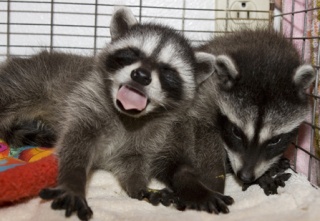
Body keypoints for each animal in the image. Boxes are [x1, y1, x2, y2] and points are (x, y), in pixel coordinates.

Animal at [0, 6, 215, 219]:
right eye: (132, 53)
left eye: (167, 70)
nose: (141, 75)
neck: (128, 115)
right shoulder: (86, 99)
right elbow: (76, 145)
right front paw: (73, 180)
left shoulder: (156, 134)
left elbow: (133, 160)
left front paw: (138, 185)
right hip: (27, 82)